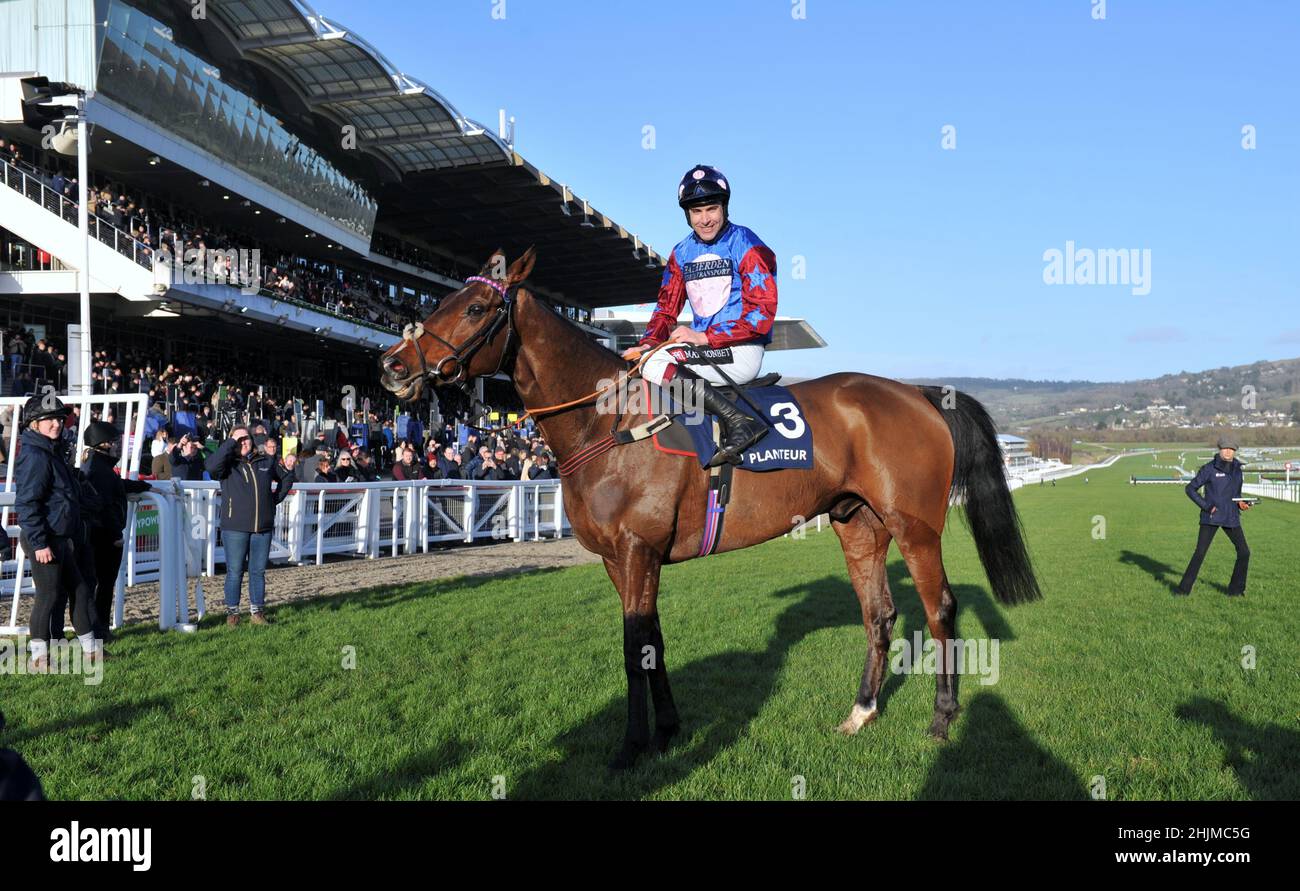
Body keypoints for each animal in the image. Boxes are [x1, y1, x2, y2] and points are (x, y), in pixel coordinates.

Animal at [379, 247, 1040, 770]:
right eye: (440, 297)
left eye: (473, 309)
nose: (392, 366)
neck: (610, 422)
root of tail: (919, 392)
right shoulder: (622, 559)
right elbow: (652, 640)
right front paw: (668, 731)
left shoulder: (638, 549)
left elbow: (632, 648)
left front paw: (630, 747)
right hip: (860, 525)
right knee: (879, 615)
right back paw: (860, 713)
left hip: (915, 526)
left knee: (940, 609)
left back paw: (943, 718)